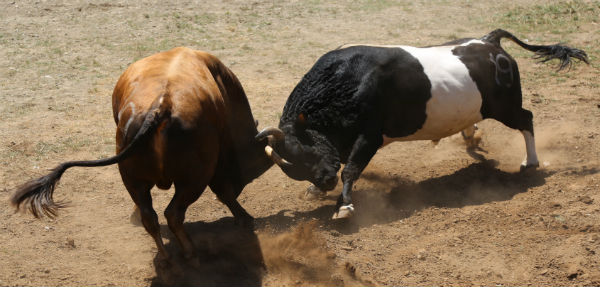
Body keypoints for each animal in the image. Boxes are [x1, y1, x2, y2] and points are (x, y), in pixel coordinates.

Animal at [10, 47, 274, 264]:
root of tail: (161, 106)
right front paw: (244, 217)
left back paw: (166, 255)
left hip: (133, 176)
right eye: (253, 167)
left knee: (151, 216)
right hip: (194, 177)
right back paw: (190, 252)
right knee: (173, 213)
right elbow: (223, 189)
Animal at [256, 28, 584, 218]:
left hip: (505, 106)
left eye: (305, 152)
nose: (325, 181)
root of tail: (490, 42)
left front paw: (344, 205)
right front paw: (315, 191)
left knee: (526, 119)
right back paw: (470, 135)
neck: (343, 84)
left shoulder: (370, 135)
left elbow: (351, 169)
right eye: (293, 166)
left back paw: (531, 161)